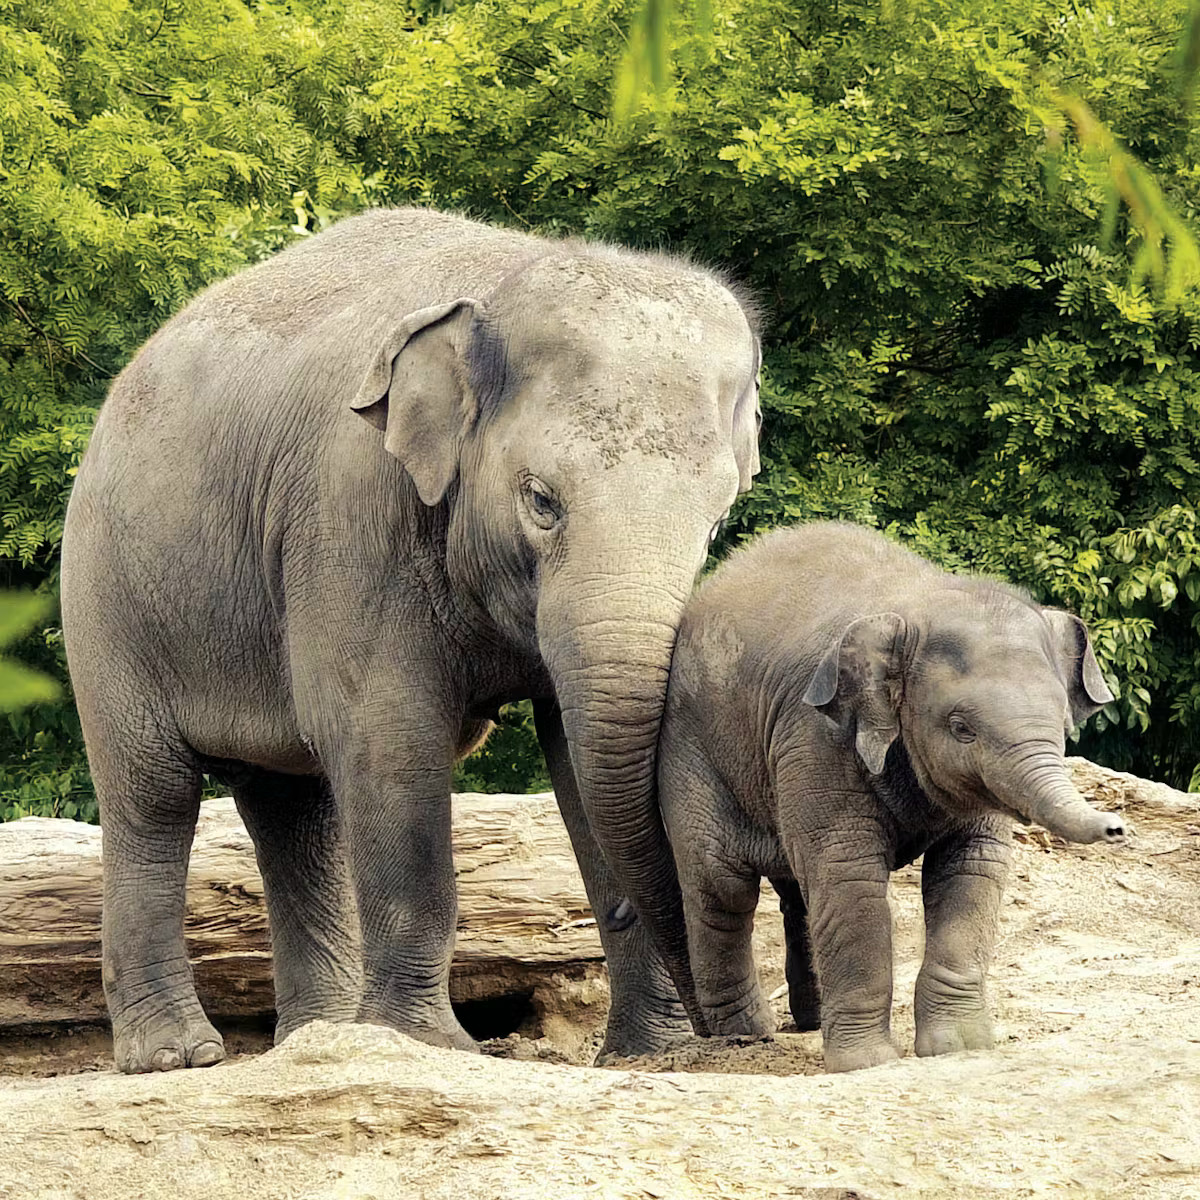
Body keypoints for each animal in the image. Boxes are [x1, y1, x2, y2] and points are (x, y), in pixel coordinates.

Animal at [60, 206, 762, 1073]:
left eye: (717, 522)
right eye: (541, 500)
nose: (728, 1033)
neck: (503, 284)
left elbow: (576, 754)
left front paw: (648, 1057)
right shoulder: (352, 510)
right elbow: (388, 739)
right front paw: (425, 1045)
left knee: (294, 809)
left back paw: (317, 1036)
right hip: (107, 602)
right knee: (152, 798)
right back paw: (176, 1057)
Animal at [656, 520, 1125, 1073]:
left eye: (1061, 721)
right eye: (961, 728)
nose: (1117, 827)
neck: (917, 604)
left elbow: (972, 874)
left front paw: (960, 1046)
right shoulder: (815, 737)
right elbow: (849, 876)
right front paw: (867, 1063)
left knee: (794, 891)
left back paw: (806, 1022)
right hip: (690, 753)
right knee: (721, 886)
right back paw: (743, 1037)